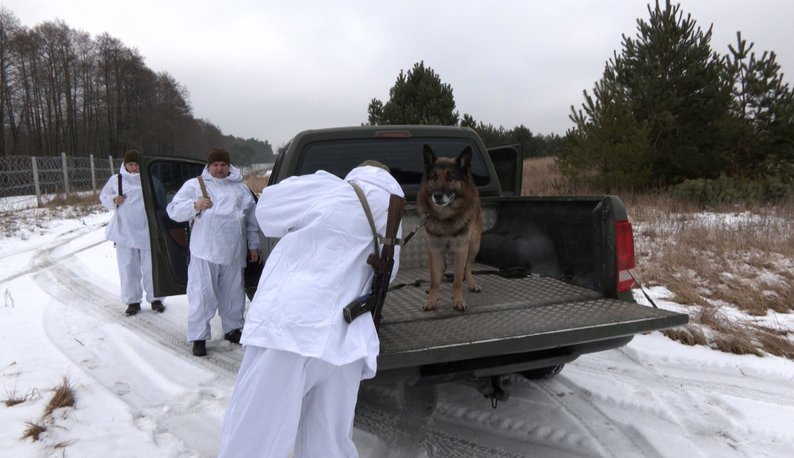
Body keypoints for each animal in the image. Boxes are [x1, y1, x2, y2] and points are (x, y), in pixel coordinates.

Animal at [414, 144, 482, 312]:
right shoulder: (434, 248)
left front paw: (458, 300)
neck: (445, 217)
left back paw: (472, 283)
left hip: (474, 245)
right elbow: (434, 279)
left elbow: (457, 279)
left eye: (450, 177)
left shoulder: (461, 249)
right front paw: (431, 300)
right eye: (434, 177)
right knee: (442, 268)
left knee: (467, 267)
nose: (437, 196)